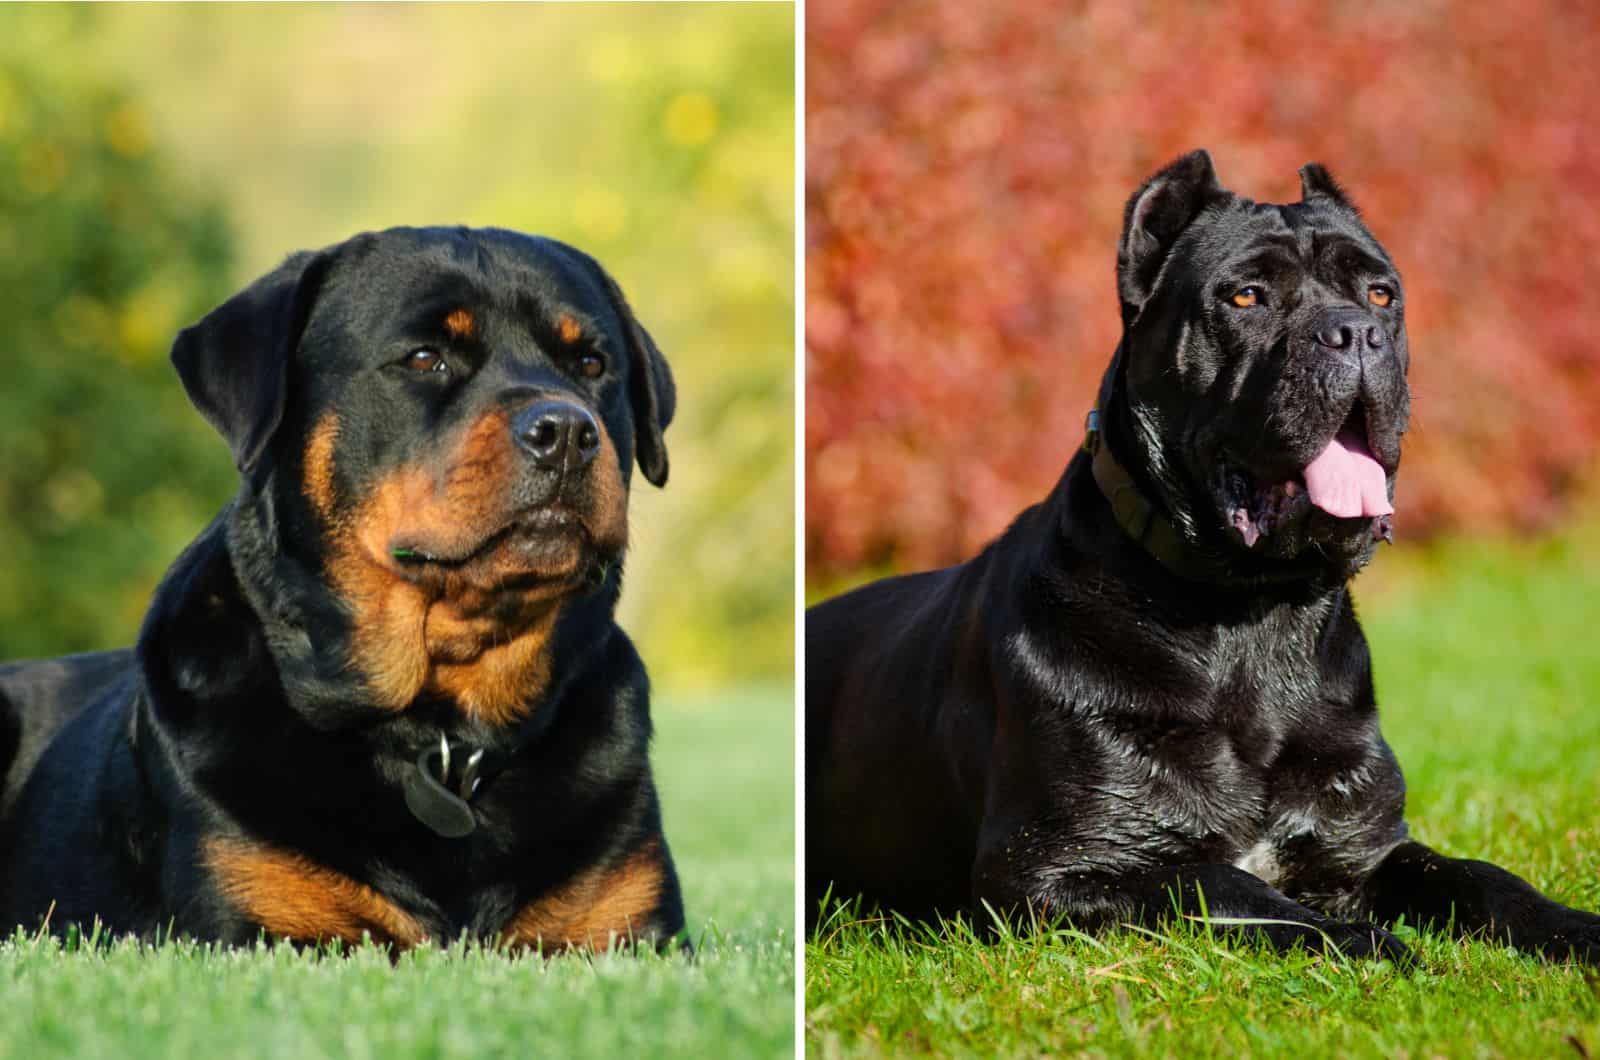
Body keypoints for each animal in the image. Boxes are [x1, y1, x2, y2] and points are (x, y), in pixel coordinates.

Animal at [0, 225, 681, 954]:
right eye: (425, 358)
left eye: (592, 364)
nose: (567, 432)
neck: (443, 738)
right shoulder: (261, 926)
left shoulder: (631, 932)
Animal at [812, 153, 1600, 967]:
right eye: (1246, 295)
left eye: (1382, 294)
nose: (1355, 333)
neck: (1251, 615)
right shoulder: (1057, 867)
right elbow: (1227, 887)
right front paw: (1368, 941)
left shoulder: (1365, 846)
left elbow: (1479, 876)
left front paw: (1574, 927)